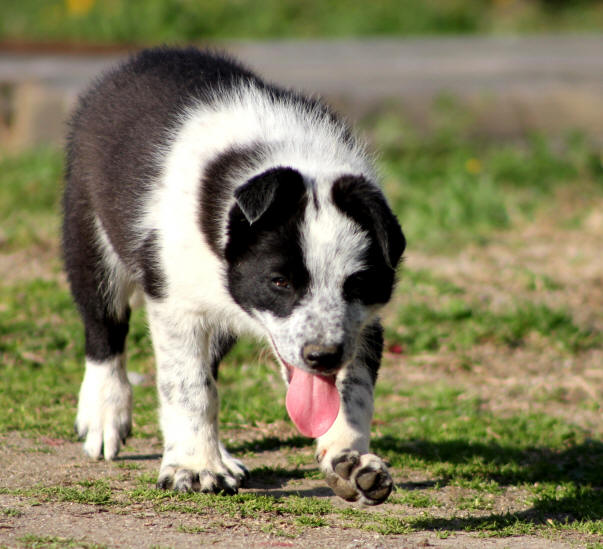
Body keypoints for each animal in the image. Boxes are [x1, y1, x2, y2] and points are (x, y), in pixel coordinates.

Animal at [62, 48, 406, 506]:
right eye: (279, 282)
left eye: (357, 285)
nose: (323, 356)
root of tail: (144, 57)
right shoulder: (175, 303)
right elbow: (189, 386)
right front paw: (195, 467)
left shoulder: (364, 324)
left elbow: (355, 391)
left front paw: (349, 459)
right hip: (89, 227)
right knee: (105, 329)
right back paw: (104, 414)